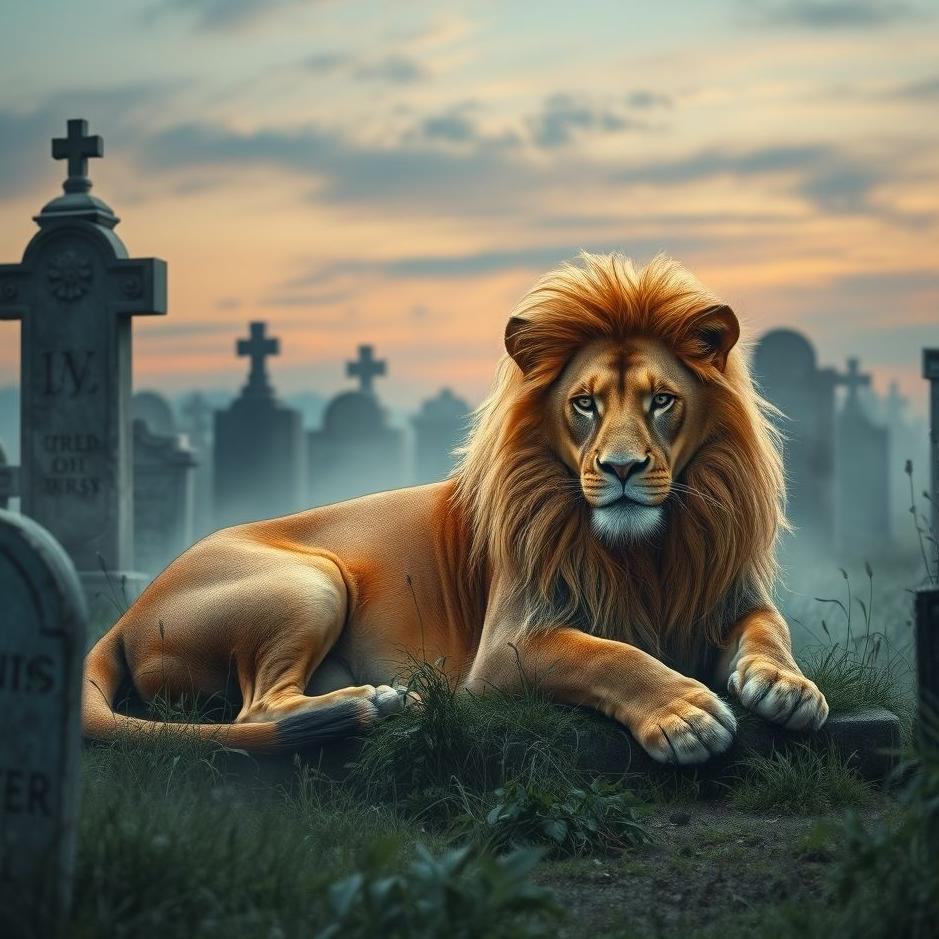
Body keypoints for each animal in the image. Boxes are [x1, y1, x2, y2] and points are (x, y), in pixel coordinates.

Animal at [83, 253, 828, 764]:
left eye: (662, 400)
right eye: (584, 403)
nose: (621, 469)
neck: (649, 552)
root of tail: (127, 613)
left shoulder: (726, 596)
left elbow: (768, 628)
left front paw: (785, 687)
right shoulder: (505, 649)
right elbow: (604, 653)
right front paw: (685, 713)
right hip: (308, 580)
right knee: (256, 708)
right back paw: (373, 702)